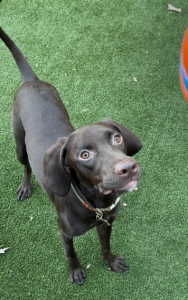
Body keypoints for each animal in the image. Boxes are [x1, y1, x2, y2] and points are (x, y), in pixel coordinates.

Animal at [0, 27, 142, 284]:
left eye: (117, 138)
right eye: (84, 154)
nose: (129, 168)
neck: (96, 204)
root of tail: (31, 81)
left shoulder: (106, 224)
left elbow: (105, 246)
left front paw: (110, 261)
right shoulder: (64, 232)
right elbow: (71, 253)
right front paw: (75, 271)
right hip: (19, 145)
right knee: (26, 166)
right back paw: (25, 186)